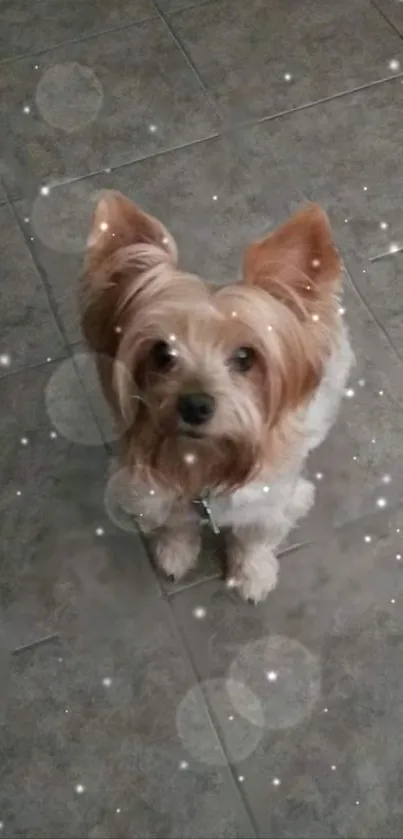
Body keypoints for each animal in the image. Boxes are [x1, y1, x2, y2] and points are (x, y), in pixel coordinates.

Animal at [81, 190, 354, 604]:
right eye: (162, 353)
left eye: (245, 357)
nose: (195, 404)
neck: (206, 464)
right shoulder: (148, 489)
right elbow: (174, 525)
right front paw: (175, 553)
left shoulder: (274, 501)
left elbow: (254, 540)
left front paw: (253, 573)